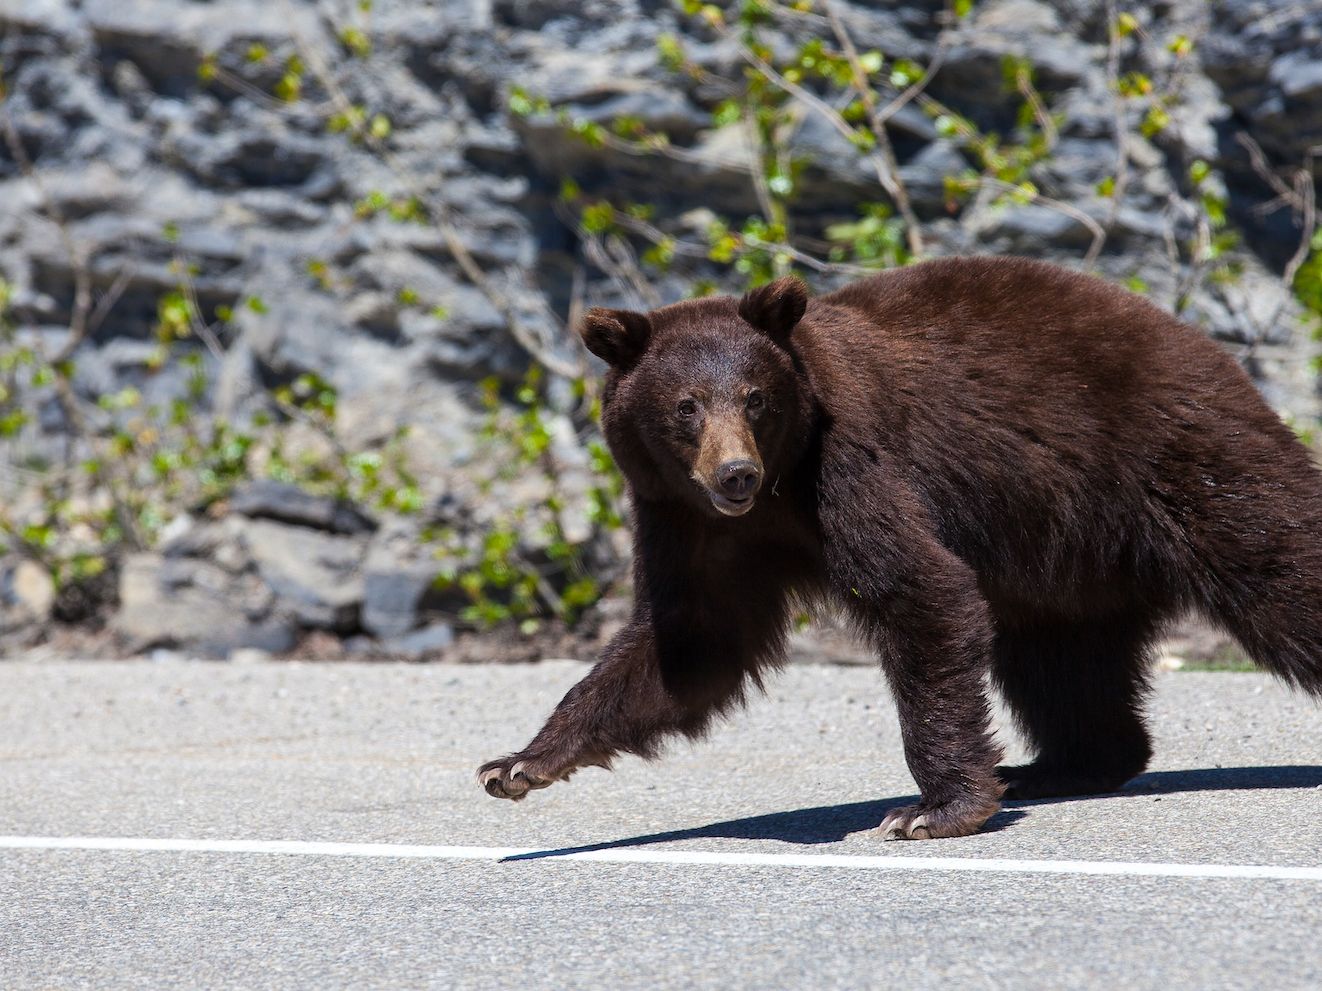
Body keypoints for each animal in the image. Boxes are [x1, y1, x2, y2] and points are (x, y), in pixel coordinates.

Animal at [477, 255, 1322, 840]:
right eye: (685, 406)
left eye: (754, 397)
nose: (735, 471)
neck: (779, 491)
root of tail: (1196, 339)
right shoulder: (687, 518)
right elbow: (689, 639)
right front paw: (518, 762)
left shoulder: (852, 466)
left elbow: (920, 593)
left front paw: (930, 809)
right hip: (1060, 562)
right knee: (1060, 662)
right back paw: (1058, 765)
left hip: (1177, 457)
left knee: (1281, 565)